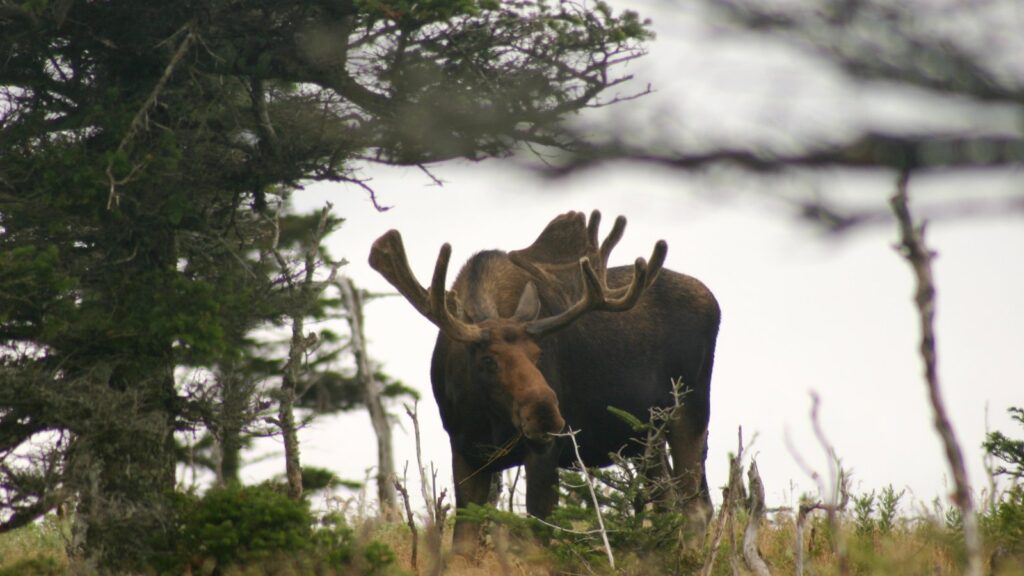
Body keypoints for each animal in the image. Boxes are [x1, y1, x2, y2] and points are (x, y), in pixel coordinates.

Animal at [369, 210, 720, 556]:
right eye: (488, 361)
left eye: (538, 354)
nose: (546, 415)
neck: (486, 417)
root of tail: (713, 302)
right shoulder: (465, 450)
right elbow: (463, 544)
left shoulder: (544, 450)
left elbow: (538, 539)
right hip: (646, 434)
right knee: (667, 501)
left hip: (690, 409)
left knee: (696, 508)